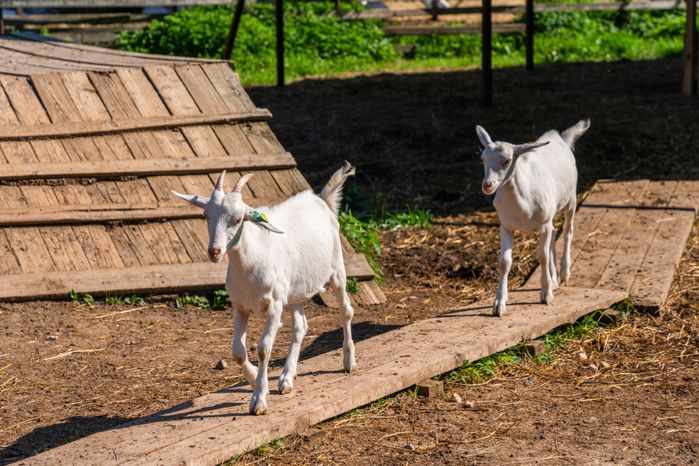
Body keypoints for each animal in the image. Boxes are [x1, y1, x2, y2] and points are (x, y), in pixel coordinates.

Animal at [172, 163, 357, 415]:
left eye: (238, 218)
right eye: (205, 215)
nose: (215, 251)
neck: (253, 258)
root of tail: (322, 200)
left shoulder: (274, 306)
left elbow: (263, 347)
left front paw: (259, 399)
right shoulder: (240, 306)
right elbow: (237, 351)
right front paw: (254, 382)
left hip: (336, 270)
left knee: (346, 311)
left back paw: (348, 362)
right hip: (294, 291)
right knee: (300, 326)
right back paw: (286, 379)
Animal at [476, 119, 590, 316]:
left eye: (507, 161)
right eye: (483, 159)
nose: (487, 185)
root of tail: (559, 137)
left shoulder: (543, 224)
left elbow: (542, 256)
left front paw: (546, 295)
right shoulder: (506, 226)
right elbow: (504, 261)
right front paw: (499, 304)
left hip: (571, 200)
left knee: (568, 231)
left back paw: (564, 272)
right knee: (554, 234)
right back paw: (554, 279)